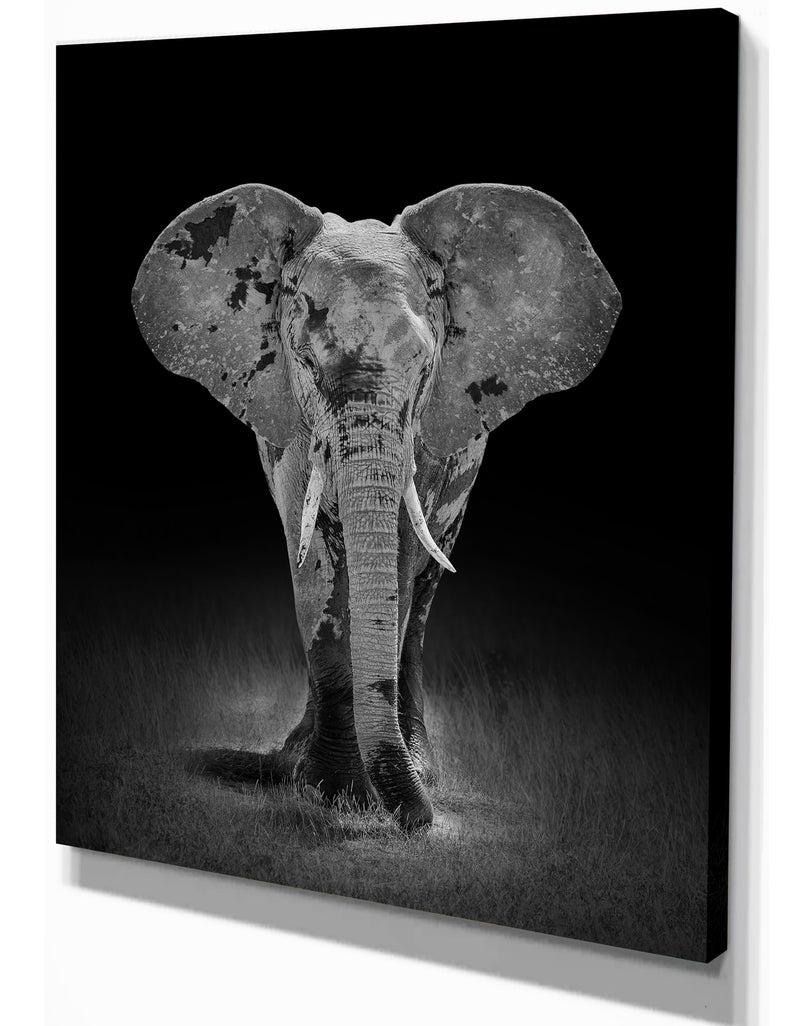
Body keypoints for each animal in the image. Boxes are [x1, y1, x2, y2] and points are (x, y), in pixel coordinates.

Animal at [132, 183, 620, 830]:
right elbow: (313, 568)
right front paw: (332, 793)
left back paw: (422, 773)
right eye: (306, 364)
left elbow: (402, 564)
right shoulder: (292, 433)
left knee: (423, 600)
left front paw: (372, 794)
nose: (422, 822)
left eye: (424, 368)